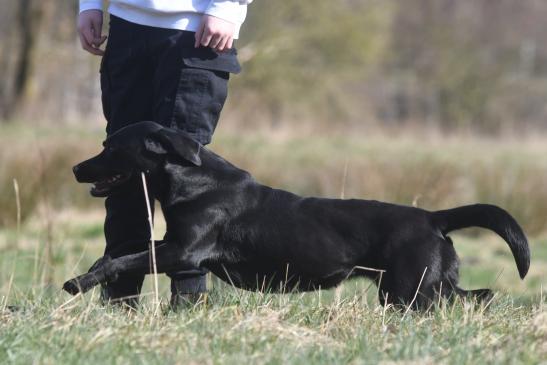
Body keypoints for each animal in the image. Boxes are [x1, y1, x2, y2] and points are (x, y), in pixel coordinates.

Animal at [64, 122, 532, 308]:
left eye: (110, 147)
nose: (75, 168)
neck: (192, 178)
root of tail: (434, 217)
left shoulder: (183, 252)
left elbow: (125, 258)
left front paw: (79, 282)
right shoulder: (171, 242)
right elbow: (120, 250)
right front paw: (87, 273)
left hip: (410, 291)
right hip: (425, 287)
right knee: (478, 296)